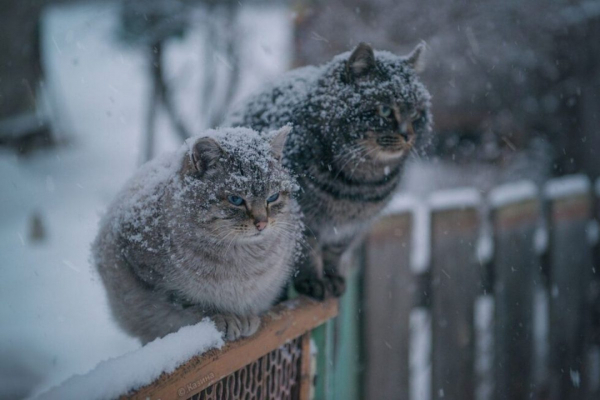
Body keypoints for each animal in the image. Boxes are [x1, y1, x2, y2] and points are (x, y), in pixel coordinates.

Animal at [92, 126, 302, 342]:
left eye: (273, 197)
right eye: (236, 199)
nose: (262, 224)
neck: (241, 258)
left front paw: (244, 317)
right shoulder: (152, 279)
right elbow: (190, 303)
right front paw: (225, 317)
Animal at [225, 43, 432, 300]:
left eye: (415, 113)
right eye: (385, 110)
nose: (408, 135)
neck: (361, 183)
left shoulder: (351, 228)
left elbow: (335, 252)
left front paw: (333, 278)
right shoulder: (304, 219)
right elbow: (307, 252)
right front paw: (313, 282)